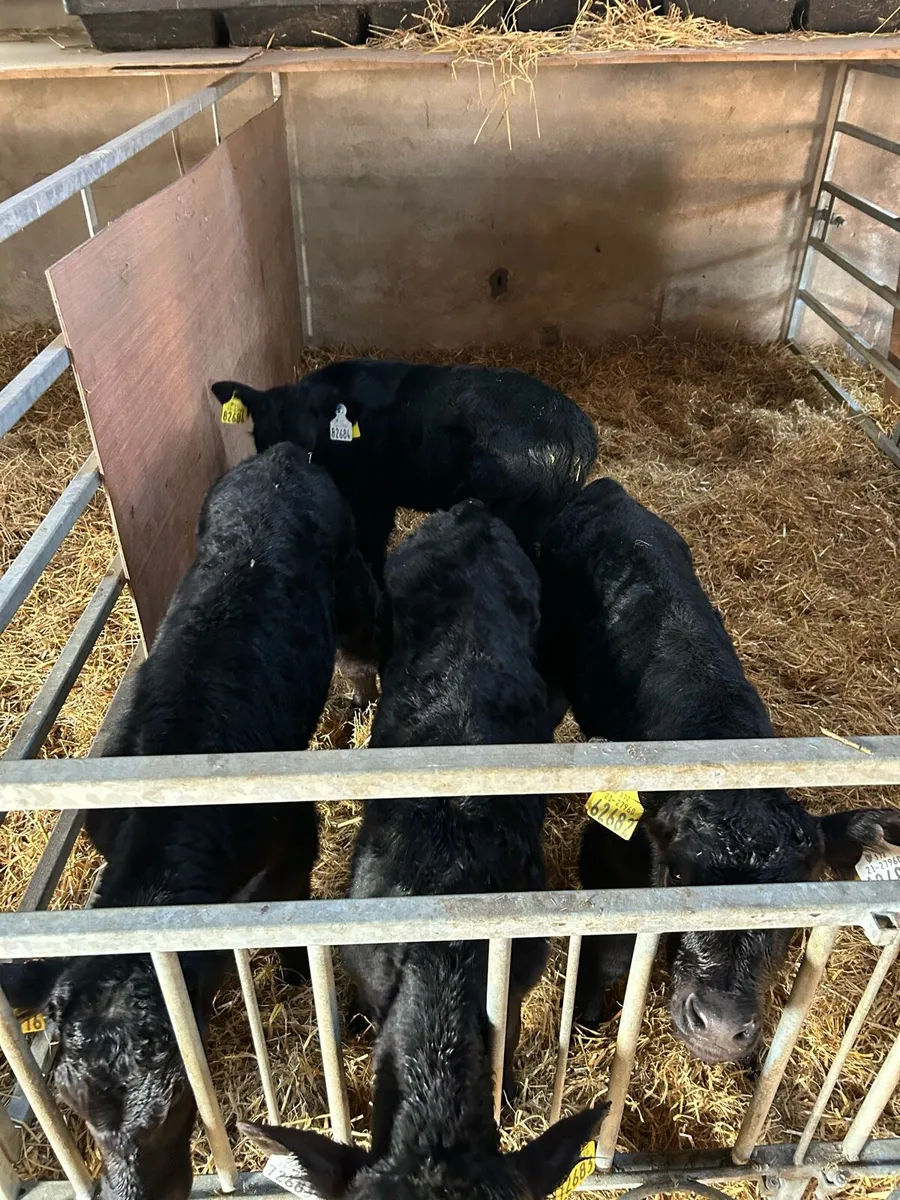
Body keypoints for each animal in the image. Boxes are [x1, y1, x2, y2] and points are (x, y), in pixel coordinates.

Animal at [1, 444, 378, 1200]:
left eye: (176, 1106)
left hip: (353, 583)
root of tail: (282, 458)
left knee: (361, 644)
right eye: (73, 1107)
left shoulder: (295, 835)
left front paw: (296, 976)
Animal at [538, 477, 900, 1064]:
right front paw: (584, 1026)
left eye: (793, 901)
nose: (719, 1027)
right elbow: (611, 952)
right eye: (678, 875)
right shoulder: (609, 856)